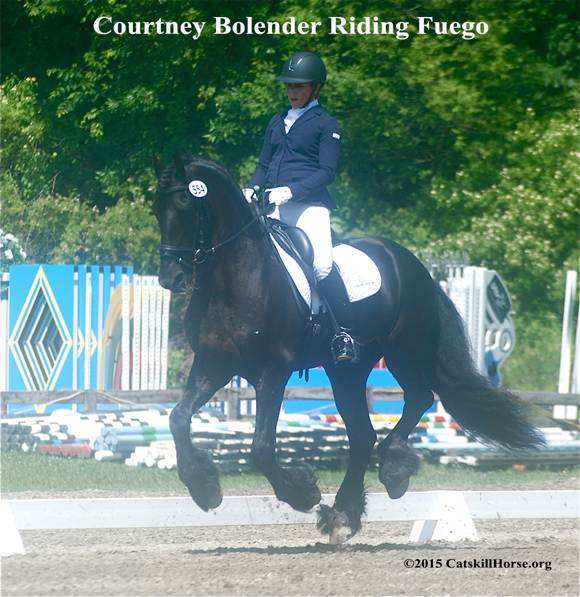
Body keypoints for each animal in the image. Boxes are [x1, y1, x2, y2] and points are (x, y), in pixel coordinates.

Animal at [153, 152, 540, 540]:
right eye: (157, 210)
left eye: (185, 204)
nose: (170, 277)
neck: (236, 279)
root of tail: (412, 263)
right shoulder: (212, 367)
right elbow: (177, 418)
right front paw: (204, 486)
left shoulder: (273, 371)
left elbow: (261, 447)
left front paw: (303, 492)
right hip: (348, 370)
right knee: (362, 434)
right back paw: (344, 511)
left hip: (402, 351)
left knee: (419, 399)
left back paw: (392, 471)